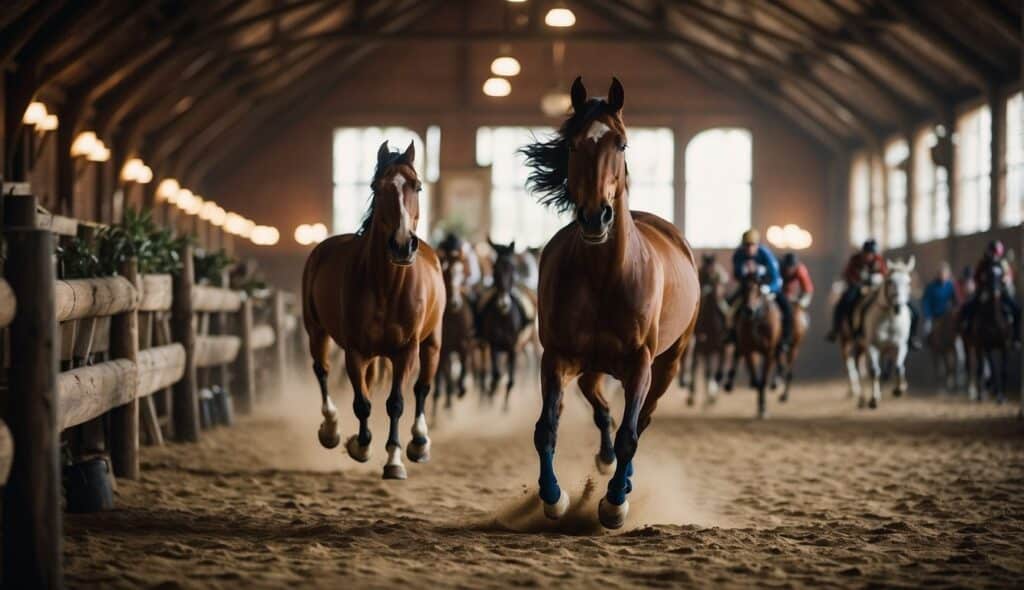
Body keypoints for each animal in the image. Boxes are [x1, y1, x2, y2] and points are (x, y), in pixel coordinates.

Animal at [299, 141, 444, 479]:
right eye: (377, 187)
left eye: (418, 186)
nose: (402, 245)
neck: (387, 287)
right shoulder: (355, 351)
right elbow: (362, 403)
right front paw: (360, 445)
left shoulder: (406, 351)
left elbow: (397, 403)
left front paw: (394, 460)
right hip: (316, 330)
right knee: (322, 370)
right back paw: (331, 430)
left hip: (432, 342)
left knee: (422, 388)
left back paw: (420, 443)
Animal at [475, 237, 532, 407]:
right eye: (495, 269)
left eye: (513, 269)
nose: (503, 304)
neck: (504, 317)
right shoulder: (494, 345)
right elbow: (496, 374)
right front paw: (491, 393)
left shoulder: (513, 348)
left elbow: (511, 380)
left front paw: (505, 406)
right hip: (486, 346)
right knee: (485, 369)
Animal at [520, 78, 704, 528]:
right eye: (573, 145)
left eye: (621, 144)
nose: (595, 217)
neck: (605, 277)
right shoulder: (557, 357)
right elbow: (546, 427)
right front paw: (553, 497)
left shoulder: (640, 364)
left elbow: (630, 434)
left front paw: (614, 504)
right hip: (591, 365)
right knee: (598, 403)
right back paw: (602, 462)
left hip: (668, 364)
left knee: (643, 418)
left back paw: (624, 479)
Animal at [720, 264, 782, 417]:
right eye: (743, 288)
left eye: (758, 288)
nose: (749, 310)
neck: (757, 320)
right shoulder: (749, 349)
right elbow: (755, 377)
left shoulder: (768, 351)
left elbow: (763, 380)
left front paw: (763, 407)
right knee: (737, 354)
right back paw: (730, 383)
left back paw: (776, 382)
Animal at [851, 258, 917, 409]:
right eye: (890, 281)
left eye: (908, 282)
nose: (898, 306)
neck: (890, 318)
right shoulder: (872, 346)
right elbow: (875, 371)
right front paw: (874, 399)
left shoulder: (901, 345)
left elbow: (898, 367)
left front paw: (899, 389)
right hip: (862, 348)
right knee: (863, 369)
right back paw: (863, 398)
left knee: (891, 369)